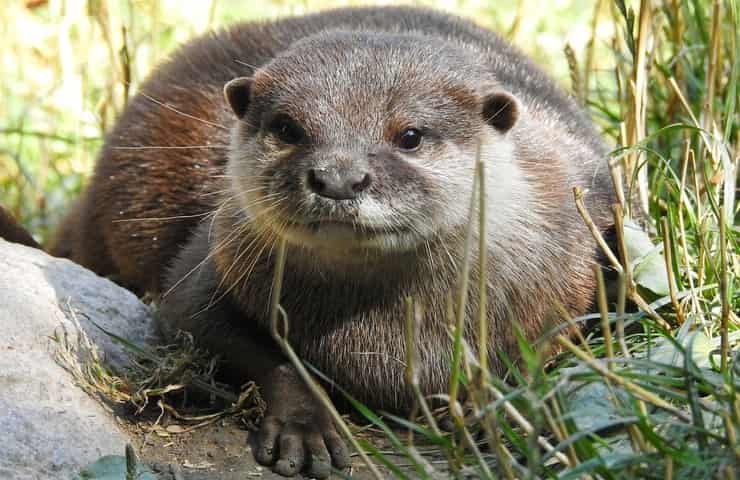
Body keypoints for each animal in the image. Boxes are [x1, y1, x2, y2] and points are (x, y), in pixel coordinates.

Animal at [2, 5, 616, 478]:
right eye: (288, 129)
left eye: (410, 135)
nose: (339, 176)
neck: (380, 337)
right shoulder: (211, 266)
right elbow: (209, 327)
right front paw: (305, 423)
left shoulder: (561, 286)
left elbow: (535, 355)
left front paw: (498, 408)